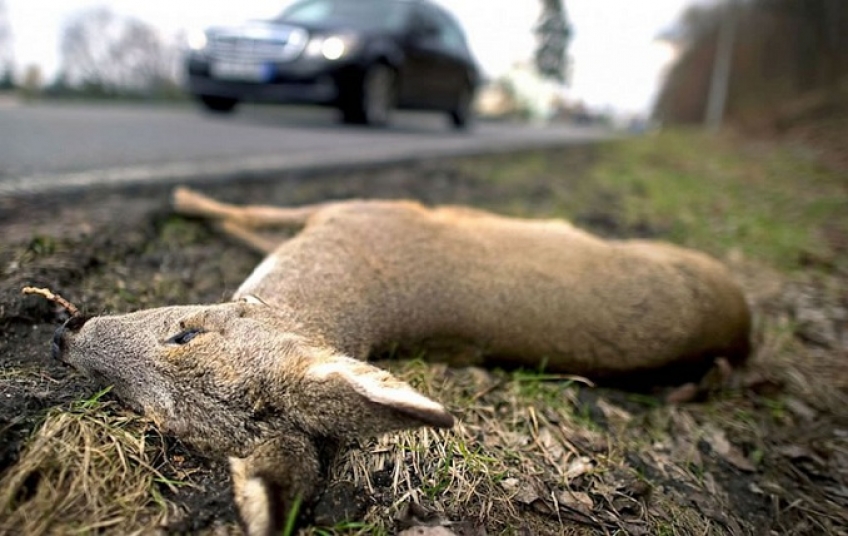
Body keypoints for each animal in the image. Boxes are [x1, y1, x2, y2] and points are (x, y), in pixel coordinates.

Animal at [49, 186, 752, 532]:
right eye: (154, 417)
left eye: (184, 335)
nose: (65, 337)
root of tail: (741, 332)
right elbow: (248, 224)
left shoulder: (359, 209)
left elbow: (247, 212)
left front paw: (180, 197)